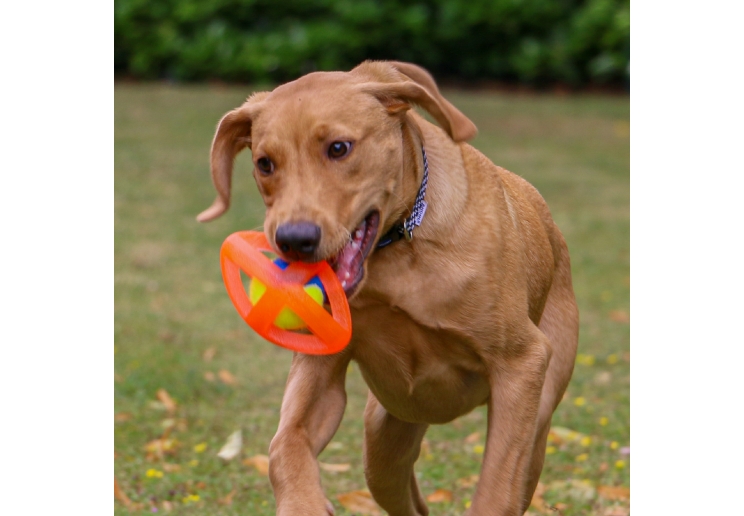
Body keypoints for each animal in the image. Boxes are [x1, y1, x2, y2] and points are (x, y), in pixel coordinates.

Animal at [198, 61, 580, 516]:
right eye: (264, 163)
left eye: (339, 148)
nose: (293, 240)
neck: (400, 250)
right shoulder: (319, 369)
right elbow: (283, 446)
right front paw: (305, 503)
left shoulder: (521, 365)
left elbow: (496, 489)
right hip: (384, 440)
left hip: (536, 424)